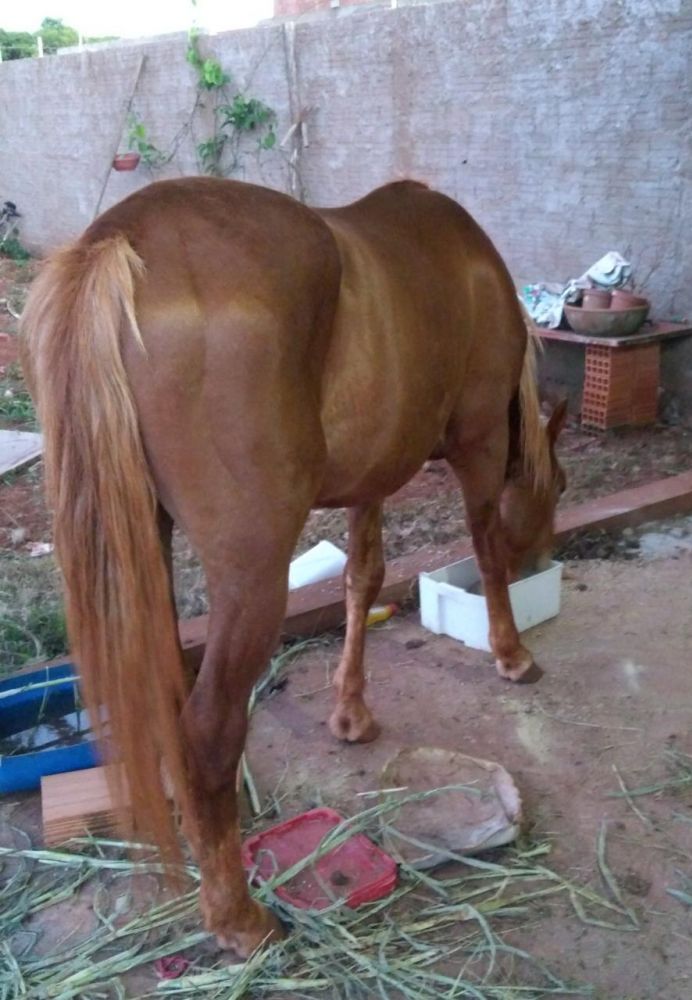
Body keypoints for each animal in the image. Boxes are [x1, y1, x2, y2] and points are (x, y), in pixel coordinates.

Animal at [21, 177, 566, 955]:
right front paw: (511, 652)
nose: (545, 557)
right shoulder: (480, 442)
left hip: (144, 549)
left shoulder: (373, 479)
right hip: (253, 575)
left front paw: (351, 714)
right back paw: (238, 919)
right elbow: (486, 550)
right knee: (208, 730)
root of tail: (116, 241)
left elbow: (362, 579)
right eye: (563, 489)